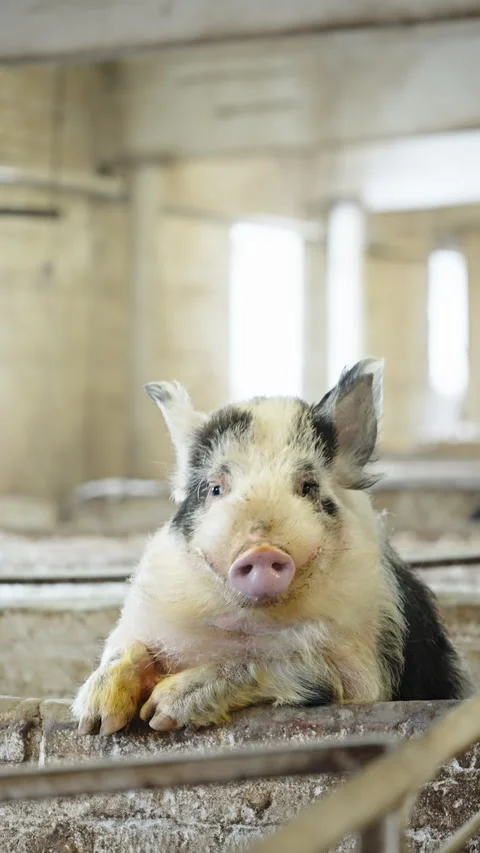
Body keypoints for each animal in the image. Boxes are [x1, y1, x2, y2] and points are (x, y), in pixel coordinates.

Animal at [73, 359, 472, 735]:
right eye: (215, 488)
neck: (252, 619)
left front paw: (157, 714)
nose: (261, 551)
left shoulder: (360, 667)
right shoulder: (144, 616)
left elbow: (268, 663)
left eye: (307, 487)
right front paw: (96, 723)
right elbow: (125, 648)